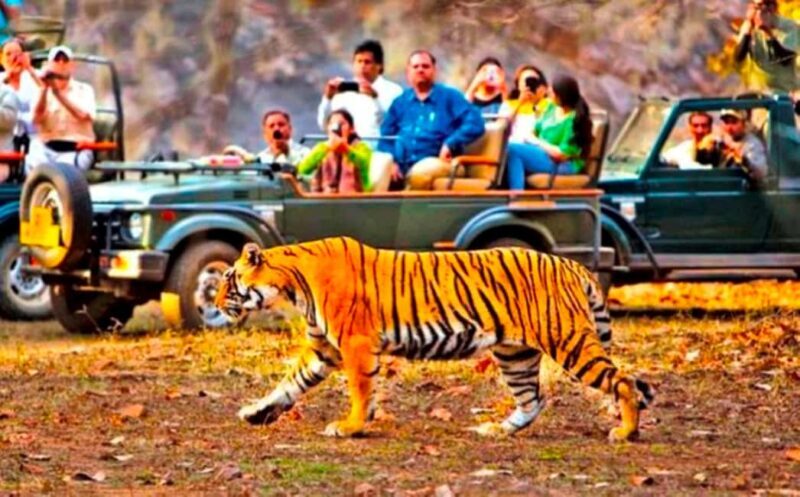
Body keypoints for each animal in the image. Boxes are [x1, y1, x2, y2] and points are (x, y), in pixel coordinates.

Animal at [215, 236, 654, 441]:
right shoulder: (324, 349)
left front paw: (351, 426)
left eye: (229, 279)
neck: (293, 283)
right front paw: (256, 411)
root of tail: (571, 264)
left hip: (568, 340)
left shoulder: (355, 344)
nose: (216, 303)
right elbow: (289, 383)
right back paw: (497, 430)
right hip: (515, 353)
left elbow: (360, 389)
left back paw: (626, 433)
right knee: (533, 399)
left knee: (623, 381)